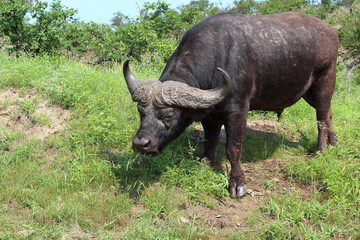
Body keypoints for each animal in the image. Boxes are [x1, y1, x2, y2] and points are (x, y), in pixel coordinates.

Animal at [123, 11, 338, 197]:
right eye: (141, 112)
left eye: (168, 115)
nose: (140, 144)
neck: (217, 56)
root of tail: (331, 30)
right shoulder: (209, 114)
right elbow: (210, 141)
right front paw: (205, 164)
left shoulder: (238, 110)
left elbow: (233, 148)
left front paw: (237, 182)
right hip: (307, 91)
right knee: (329, 113)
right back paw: (333, 142)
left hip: (325, 79)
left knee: (321, 117)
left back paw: (320, 150)